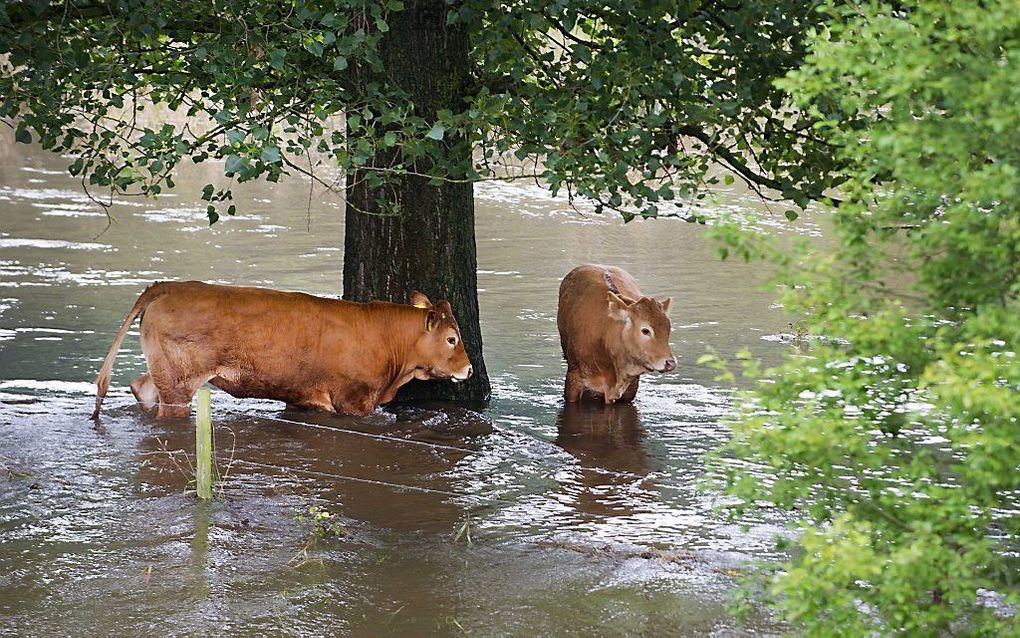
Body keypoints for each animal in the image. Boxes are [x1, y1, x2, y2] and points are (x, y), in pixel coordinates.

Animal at [89, 281, 471, 418]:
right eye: (452, 338)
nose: (468, 369)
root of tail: (169, 286)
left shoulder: (302, 396)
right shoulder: (354, 400)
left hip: (165, 372)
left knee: (141, 387)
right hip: (179, 382)